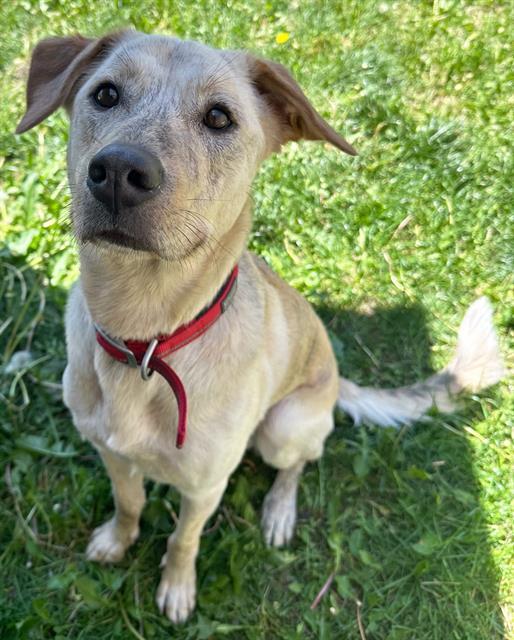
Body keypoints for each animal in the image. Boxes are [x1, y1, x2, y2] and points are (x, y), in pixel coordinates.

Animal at [17, 31, 504, 624]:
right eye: (106, 94)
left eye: (219, 117)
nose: (117, 173)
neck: (147, 338)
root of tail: (337, 381)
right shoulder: (111, 452)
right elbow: (129, 503)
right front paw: (117, 539)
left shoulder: (205, 487)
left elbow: (183, 539)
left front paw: (177, 588)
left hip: (283, 427)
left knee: (301, 462)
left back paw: (278, 511)